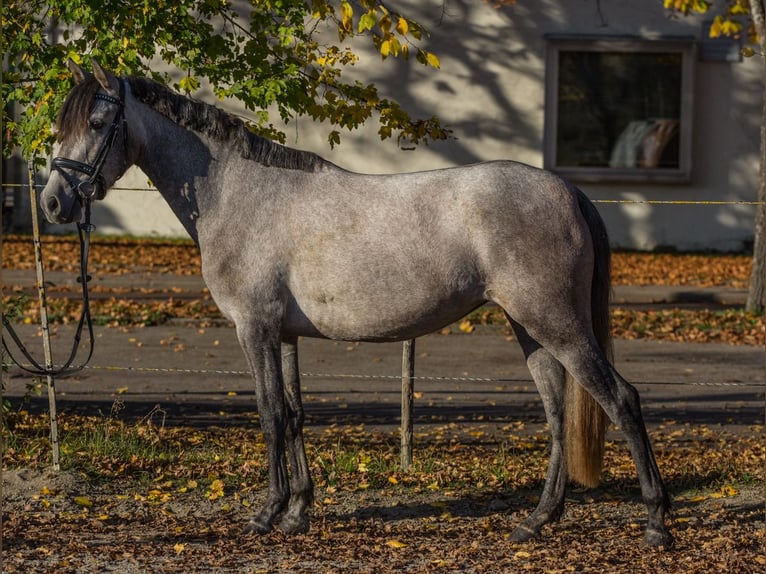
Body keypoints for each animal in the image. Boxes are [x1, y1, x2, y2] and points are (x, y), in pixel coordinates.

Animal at [39, 60, 676, 552]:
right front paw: (298, 512)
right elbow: (295, 414)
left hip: (557, 324)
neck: (240, 195)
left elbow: (269, 415)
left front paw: (266, 514)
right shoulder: (285, 335)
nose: (52, 202)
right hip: (530, 328)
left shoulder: (255, 329)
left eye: (97, 123)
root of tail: (567, 190)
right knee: (557, 412)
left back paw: (655, 523)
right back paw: (537, 521)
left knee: (621, 399)